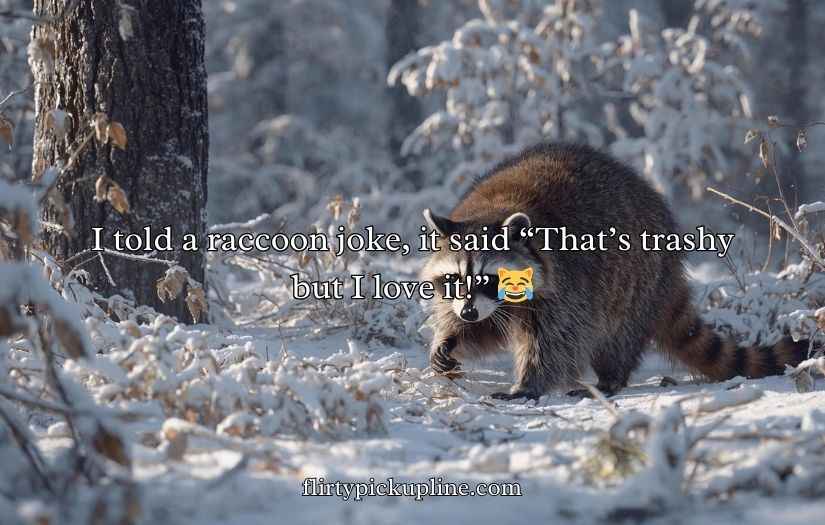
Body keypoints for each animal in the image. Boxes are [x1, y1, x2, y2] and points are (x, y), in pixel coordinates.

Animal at [421, 143, 812, 400]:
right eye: (454, 279)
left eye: (488, 278)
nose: (468, 312)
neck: (496, 206)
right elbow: (484, 329)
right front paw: (450, 339)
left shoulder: (566, 285)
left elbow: (555, 340)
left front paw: (529, 382)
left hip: (636, 279)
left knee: (616, 335)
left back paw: (611, 377)